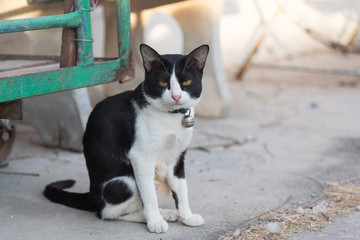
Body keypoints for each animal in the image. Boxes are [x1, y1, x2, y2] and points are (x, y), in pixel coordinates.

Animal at [43, 43, 210, 232]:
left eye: (186, 82)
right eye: (163, 82)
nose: (176, 96)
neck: (171, 116)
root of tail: (92, 194)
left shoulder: (177, 157)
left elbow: (181, 189)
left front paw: (187, 216)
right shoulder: (140, 157)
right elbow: (149, 195)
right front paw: (155, 221)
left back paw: (166, 213)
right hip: (124, 183)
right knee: (108, 212)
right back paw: (153, 217)